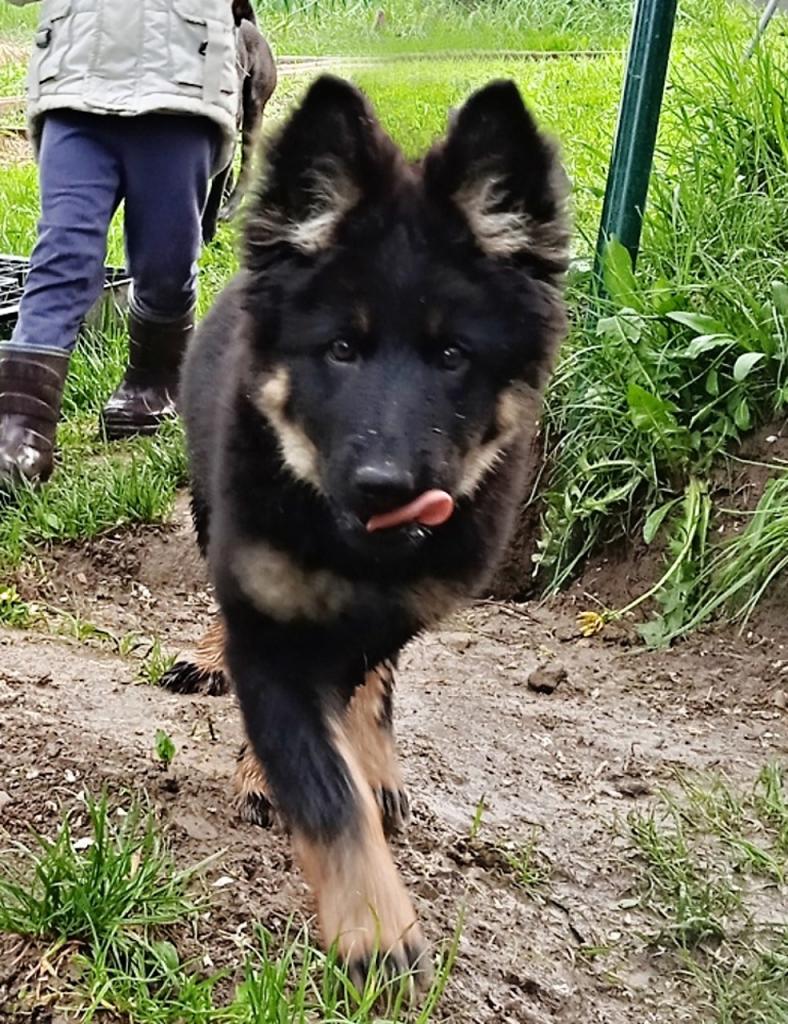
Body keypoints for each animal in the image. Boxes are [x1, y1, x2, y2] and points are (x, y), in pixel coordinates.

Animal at [168, 75, 569, 983]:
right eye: (341, 349)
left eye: (453, 356)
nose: (385, 487)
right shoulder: (267, 613)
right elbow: (320, 782)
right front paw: (376, 932)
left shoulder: (403, 601)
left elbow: (354, 701)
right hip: (211, 504)